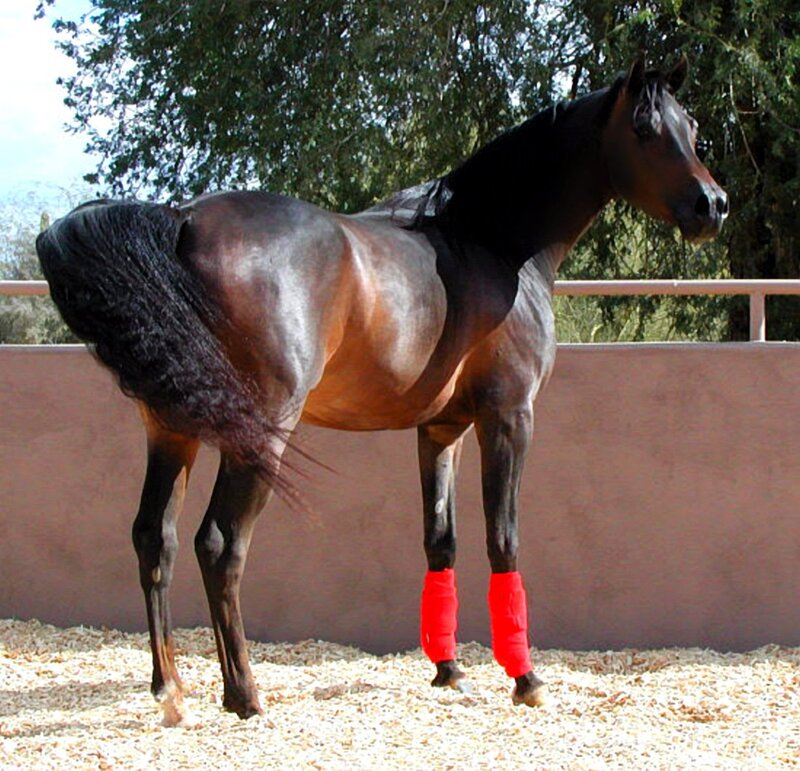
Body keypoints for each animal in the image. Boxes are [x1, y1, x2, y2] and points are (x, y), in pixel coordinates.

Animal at [36, 55, 727, 725]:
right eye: (644, 129)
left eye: (692, 128)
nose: (711, 205)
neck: (491, 240)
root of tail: (179, 222)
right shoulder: (510, 417)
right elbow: (502, 538)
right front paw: (526, 681)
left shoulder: (441, 429)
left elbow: (440, 537)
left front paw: (449, 671)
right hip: (260, 435)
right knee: (220, 545)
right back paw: (244, 695)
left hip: (172, 431)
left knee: (156, 538)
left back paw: (171, 692)